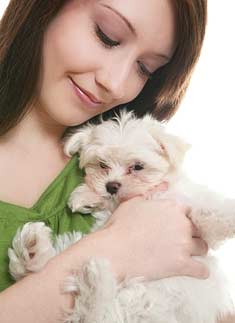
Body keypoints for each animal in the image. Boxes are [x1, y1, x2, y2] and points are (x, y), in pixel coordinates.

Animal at [9, 112, 235, 323]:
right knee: (93, 310)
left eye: (138, 166)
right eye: (102, 165)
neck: (149, 194)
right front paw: (85, 195)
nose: (111, 186)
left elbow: (207, 212)